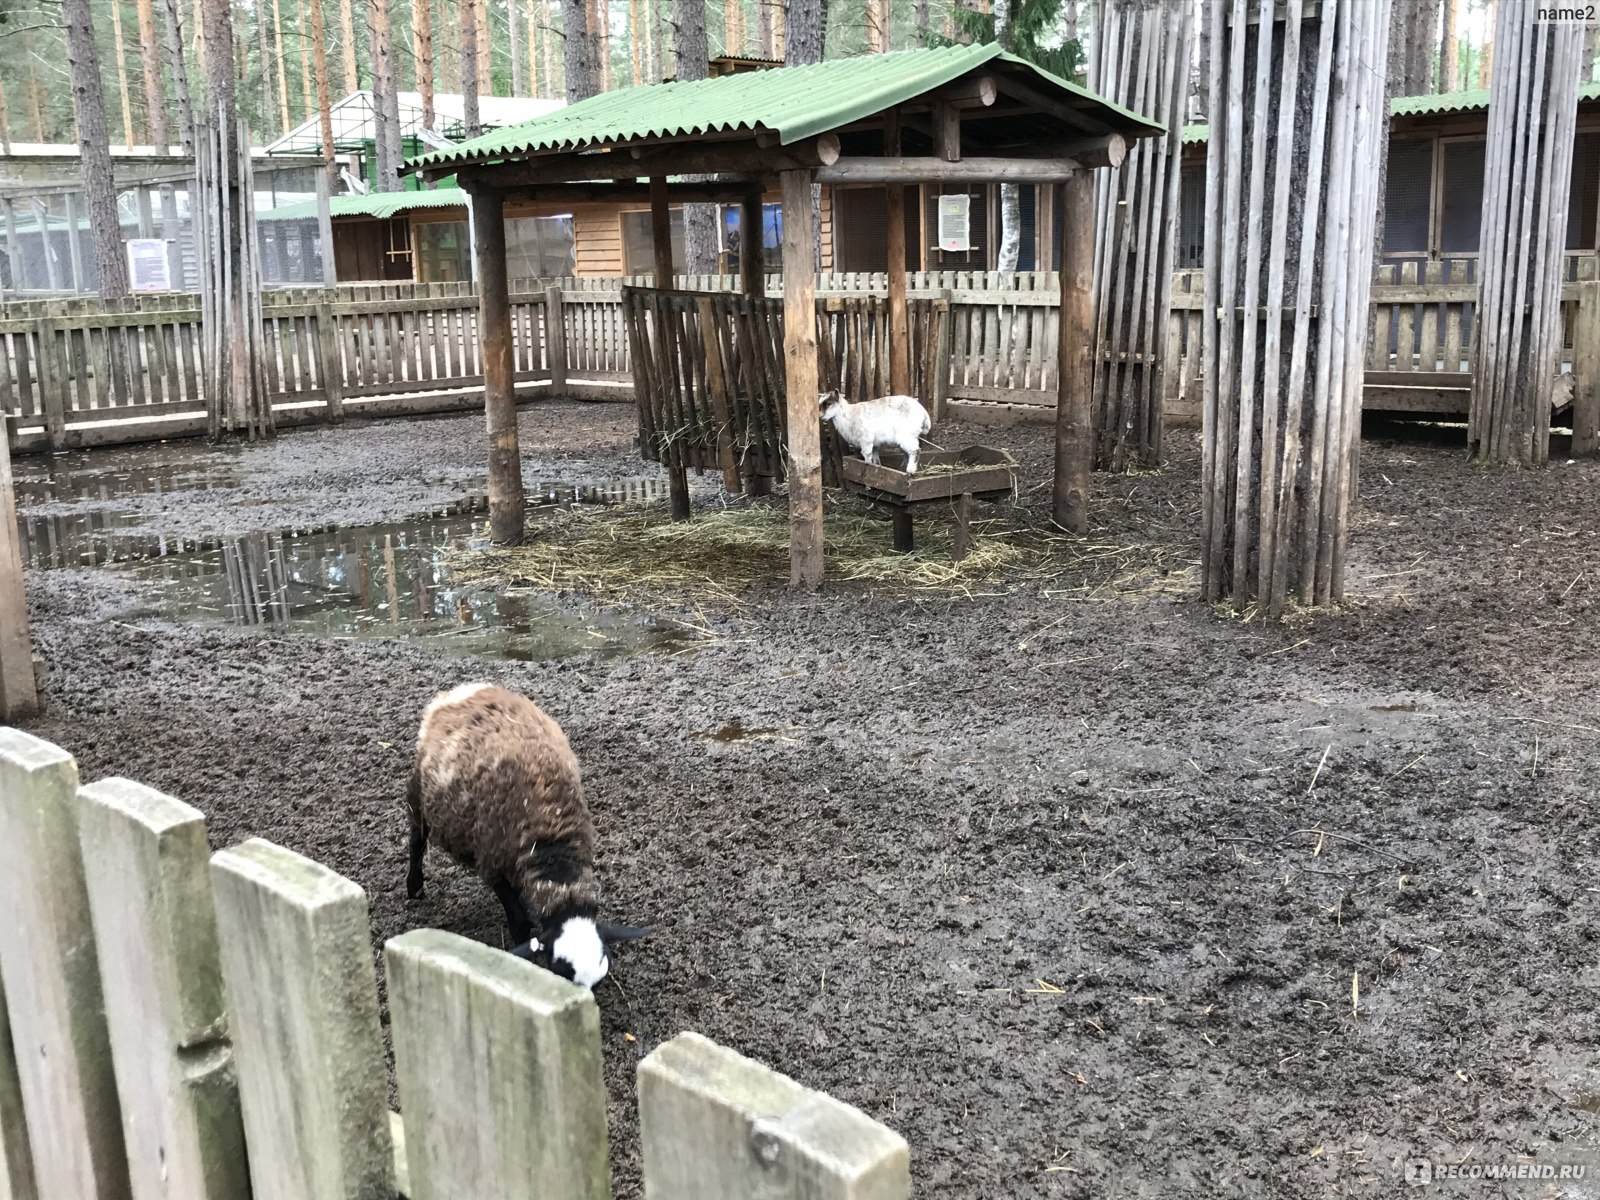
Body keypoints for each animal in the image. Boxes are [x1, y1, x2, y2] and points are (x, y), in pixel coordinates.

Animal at [406, 681, 649, 992]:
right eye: (560, 972)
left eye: (597, 982)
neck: (550, 843)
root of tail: (465, 691)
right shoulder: (493, 865)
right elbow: (521, 924)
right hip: (418, 793)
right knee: (416, 840)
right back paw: (414, 887)